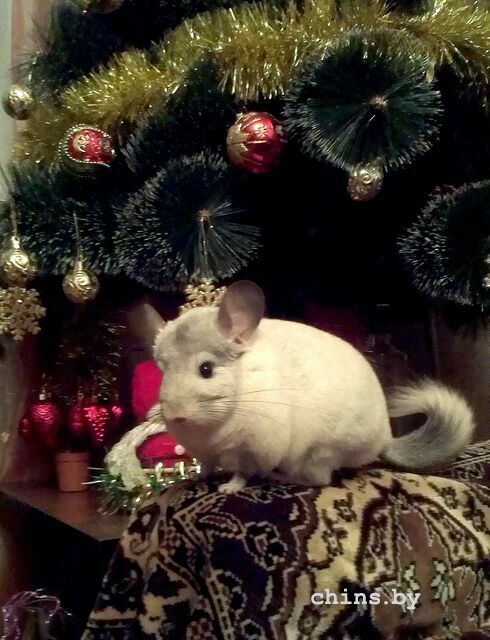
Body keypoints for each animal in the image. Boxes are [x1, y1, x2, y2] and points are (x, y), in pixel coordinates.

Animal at [145, 281, 474, 494]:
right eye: (163, 369)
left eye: (206, 369)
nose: (174, 416)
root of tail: (385, 438)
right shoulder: (205, 453)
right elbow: (208, 467)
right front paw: (191, 481)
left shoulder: (251, 449)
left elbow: (241, 473)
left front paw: (228, 489)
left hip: (319, 453)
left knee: (320, 481)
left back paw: (281, 477)